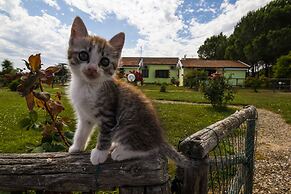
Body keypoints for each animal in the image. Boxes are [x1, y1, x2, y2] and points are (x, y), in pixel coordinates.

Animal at [68, 17, 195, 168]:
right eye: (83, 55)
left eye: (104, 61)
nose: (92, 69)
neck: (88, 86)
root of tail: (159, 138)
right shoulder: (84, 116)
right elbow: (81, 131)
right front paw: (77, 147)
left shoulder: (109, 114)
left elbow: (105, 135)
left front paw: (99, 153)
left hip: (127, 125)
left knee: (150, 148)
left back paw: (121, 152)